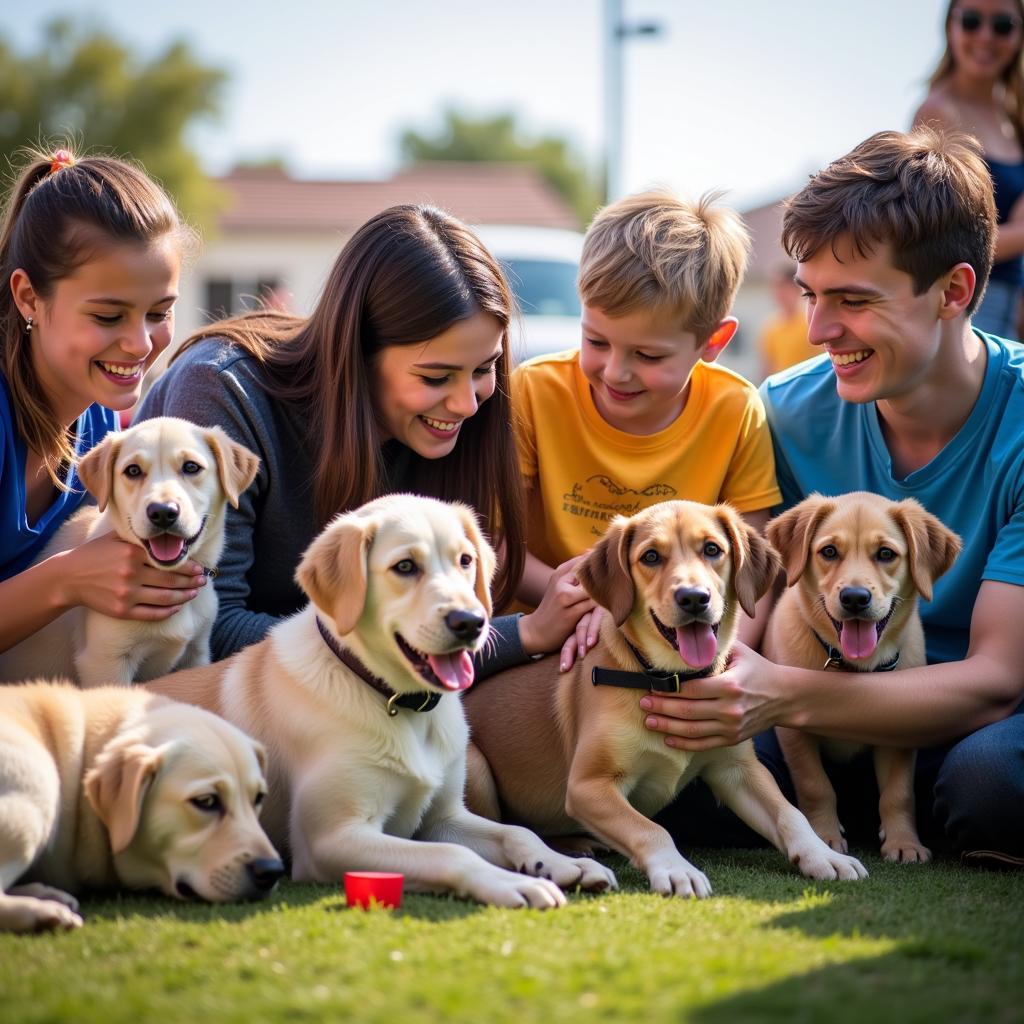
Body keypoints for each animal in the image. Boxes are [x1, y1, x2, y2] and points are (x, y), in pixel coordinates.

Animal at [149, 491, 614, 909]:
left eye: (465, 560)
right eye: (405, 566)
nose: (471, 622)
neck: (398, 704)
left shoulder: (445, 817)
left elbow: (516, 831)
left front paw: (561, 863)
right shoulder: (330, 839)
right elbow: (452, 854)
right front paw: (515, 884)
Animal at [466, 501, 872, 897]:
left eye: (712, 549)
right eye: (650, 557)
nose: (693, 598)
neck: (669, 679)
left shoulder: (738, 768)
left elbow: (791, 814)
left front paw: (823, 855)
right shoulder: (588, 786)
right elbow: (650, 829)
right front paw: (677, 870)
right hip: (477, 769)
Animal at [765, 491, 962, 860]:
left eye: (885, 554)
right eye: (829, 551)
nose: (855, 598)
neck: (854, 666)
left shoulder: (902, 729)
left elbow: (899, 793)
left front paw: (904, 843)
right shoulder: (793, 732)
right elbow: (815, 785)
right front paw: (824, 838)